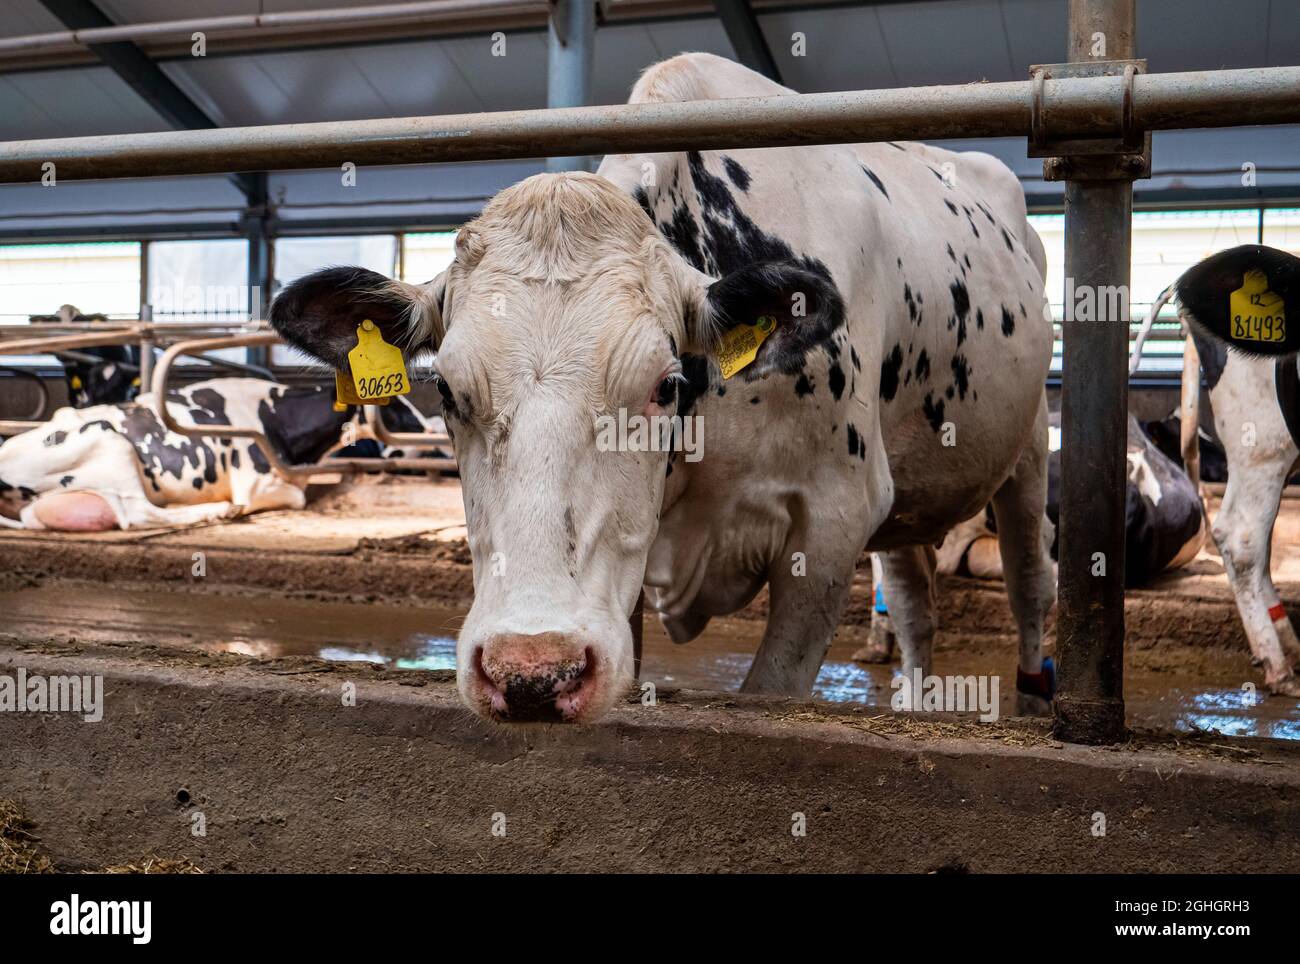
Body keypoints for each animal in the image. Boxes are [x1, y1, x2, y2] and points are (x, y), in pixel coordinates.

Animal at [0, 377, 355, 531]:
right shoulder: (252, 483)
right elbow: (297, 499)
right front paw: (236, 508)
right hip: (110, 440)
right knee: (139, 513)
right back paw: (218, 510)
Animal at [268, 53, 1057, 723]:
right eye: (451, 396)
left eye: (664, 385)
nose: (532, 671)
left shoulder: (835, 519)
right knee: (917, 600)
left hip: (1029, 449)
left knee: (1030, 580)